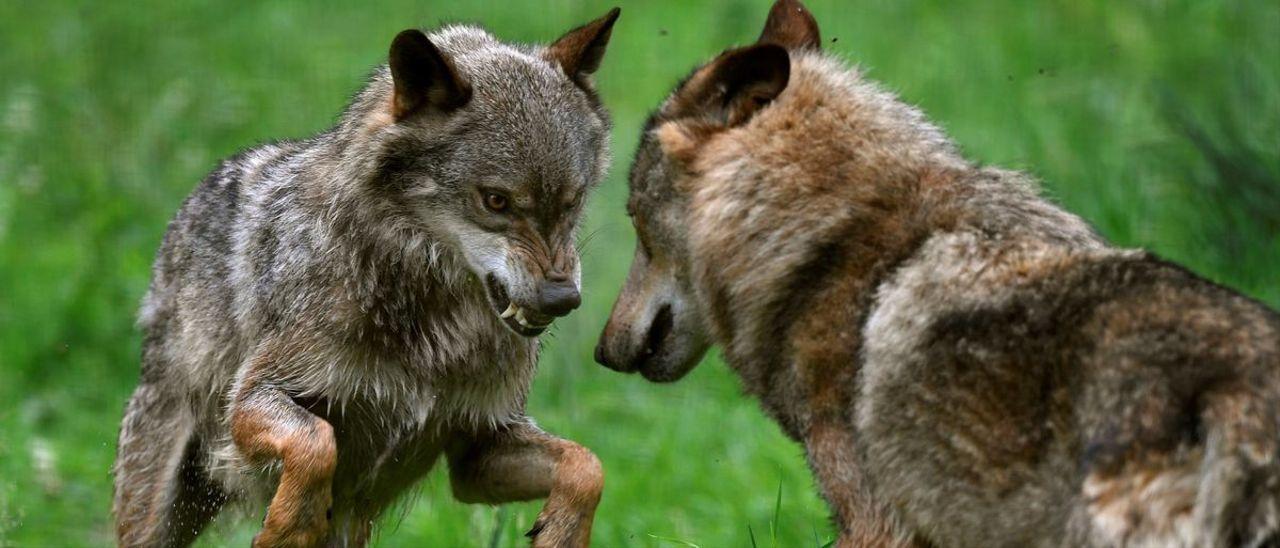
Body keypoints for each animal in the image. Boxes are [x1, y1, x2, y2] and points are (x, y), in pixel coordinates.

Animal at [112, 9, 622, 548]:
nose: (562, 297)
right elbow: (316, 443)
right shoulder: (250, 398)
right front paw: (289, 527)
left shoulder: (480, 448)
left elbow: (588, 466)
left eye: (572, 201)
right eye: (496, 201)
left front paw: (562, 533)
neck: (439, 329)